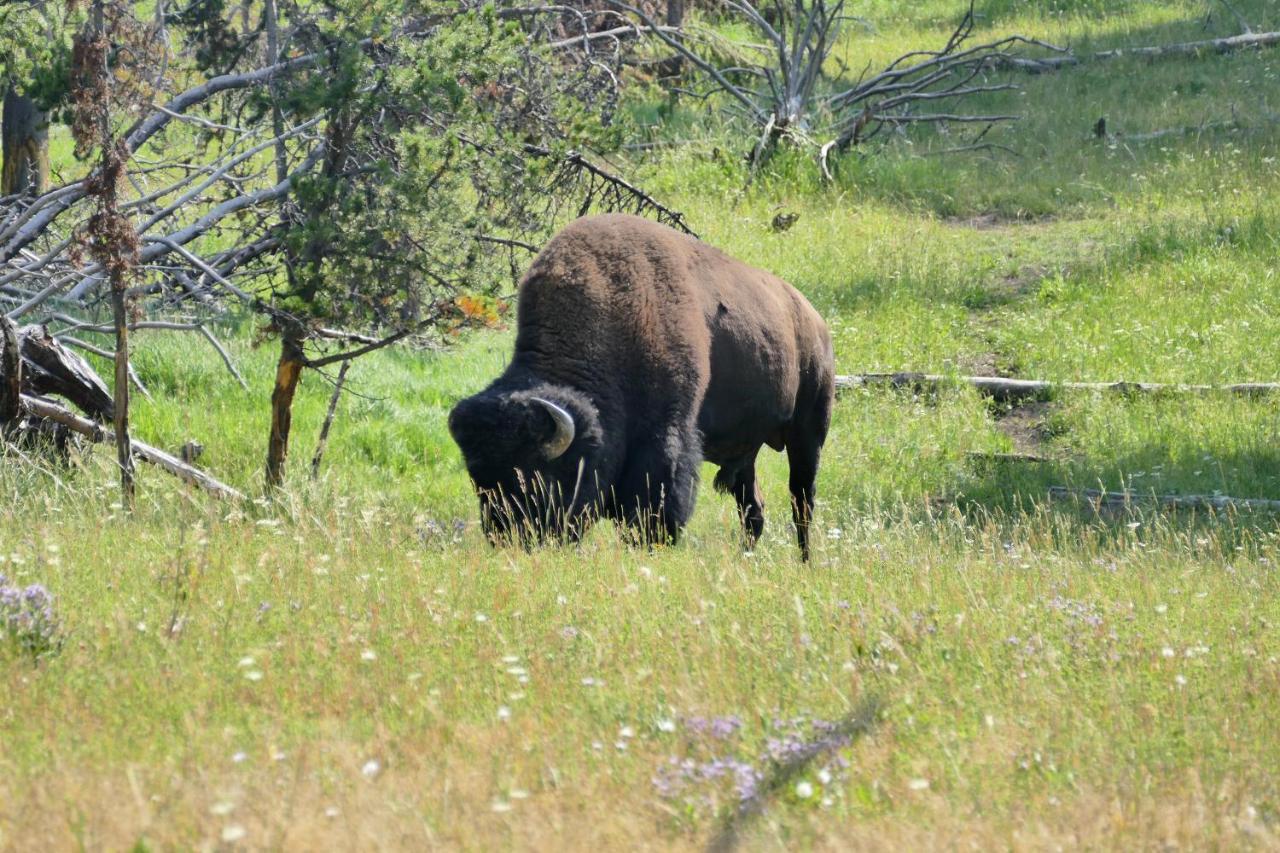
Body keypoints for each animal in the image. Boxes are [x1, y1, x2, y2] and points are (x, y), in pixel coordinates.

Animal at [450, 212, 839, 558]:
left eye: (536, 477)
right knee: (753, 508)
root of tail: (813, 318)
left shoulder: (665, 437)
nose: (506, 537)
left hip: (808, 433)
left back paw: (805, 561)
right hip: (746, 453)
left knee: (802, 500)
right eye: (477, 480)